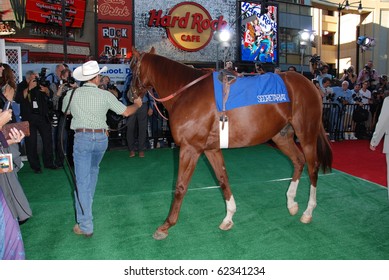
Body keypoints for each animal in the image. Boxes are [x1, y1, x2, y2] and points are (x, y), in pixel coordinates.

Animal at [130, 47, 330, 240]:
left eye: (132, 68)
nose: (130, 95)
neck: (186, 93)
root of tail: (310, 85)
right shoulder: (211, 149)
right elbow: (222, 179)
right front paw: (228, 217)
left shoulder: (190, 148)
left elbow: (180, 186)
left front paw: (166, 225)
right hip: (282, 137)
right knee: (298, 161)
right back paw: (291, 203)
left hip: (307, 135)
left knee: (312, 168)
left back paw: (308, 211)